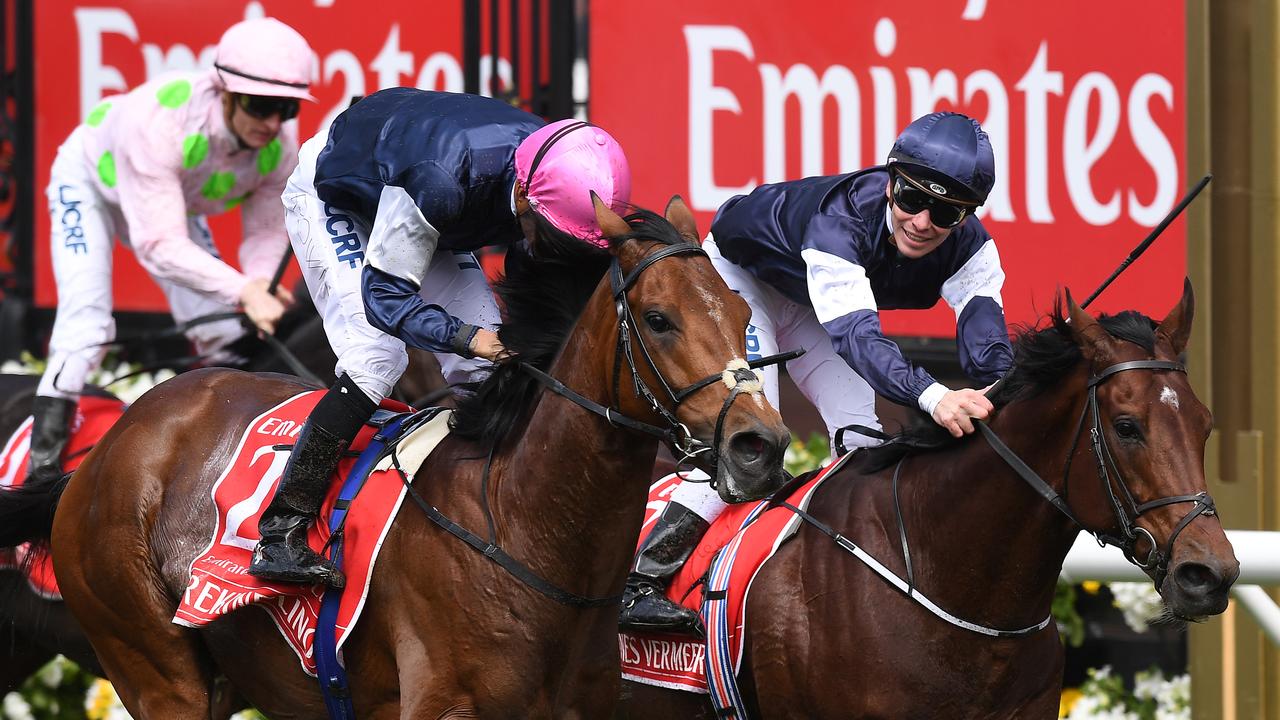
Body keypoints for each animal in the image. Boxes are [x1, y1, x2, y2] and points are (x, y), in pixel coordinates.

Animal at [15, 193, 783, 712]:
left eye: (745, 315)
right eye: (658, 320)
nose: (761, 446)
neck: (524, 526)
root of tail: (102, 454)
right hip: (155, 667)